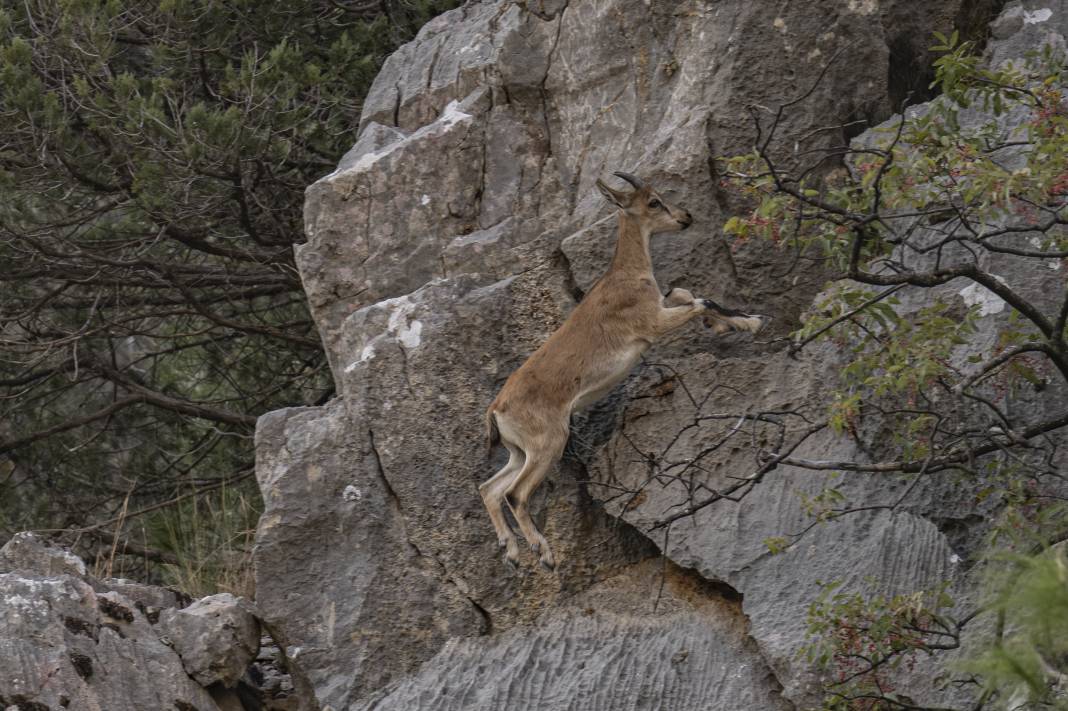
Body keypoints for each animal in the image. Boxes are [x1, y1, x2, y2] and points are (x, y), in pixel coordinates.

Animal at [480, 172, 764, 572]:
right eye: (653, 201)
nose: (686, 216)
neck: (626, 275)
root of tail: (497, 409)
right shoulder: (652, 324)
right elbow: (699, 300)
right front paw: (747, 322)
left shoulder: (661, 306)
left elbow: (685, 293)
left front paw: (740, 323)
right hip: (547, 443)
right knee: (516, 494)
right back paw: (544, 554)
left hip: (519, 451)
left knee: (490, 489)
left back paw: (512, 551)